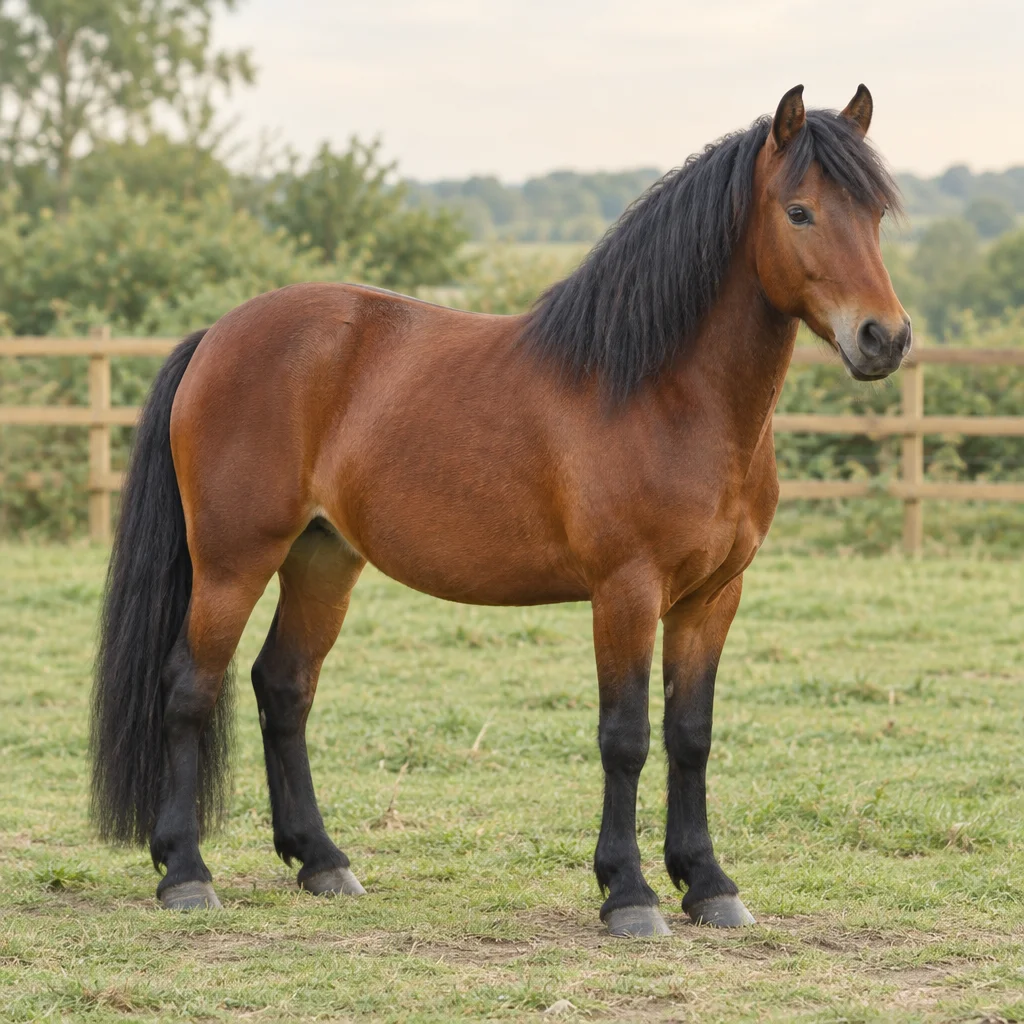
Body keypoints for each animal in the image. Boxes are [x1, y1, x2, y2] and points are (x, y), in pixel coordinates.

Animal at [91, 84, 909, 937]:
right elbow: (625, 737)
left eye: (875, 214)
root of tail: (218, 335)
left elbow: (691, 734)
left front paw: (710, 883)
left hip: (323, 558)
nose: (884, 338)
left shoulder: (712, 597)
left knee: (283, 687)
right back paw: (185, 872)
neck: (664, 393)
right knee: (189, 688)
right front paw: (629, 892)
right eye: (799, 212)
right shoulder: (626, 591)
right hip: (232, 562)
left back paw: (322, 861)